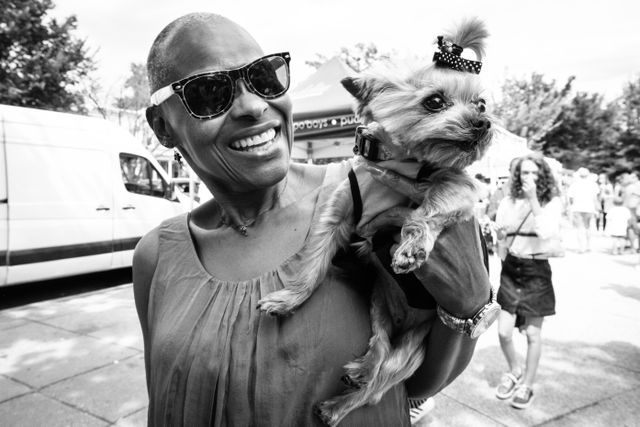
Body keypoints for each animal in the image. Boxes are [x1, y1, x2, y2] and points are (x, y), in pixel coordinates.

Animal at [258, 17, 492, 427]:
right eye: (434, 101)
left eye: (480, 103)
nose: (483, 122)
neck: (404, 163)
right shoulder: (338, 214)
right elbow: (313, 266)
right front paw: (288, 300)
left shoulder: (460, 188)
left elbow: (429, 207)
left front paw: (412, 247)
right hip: (379, 306)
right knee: (379, 352)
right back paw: (358, 370)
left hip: (414, 349)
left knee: (380, 382)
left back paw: (339, 405)